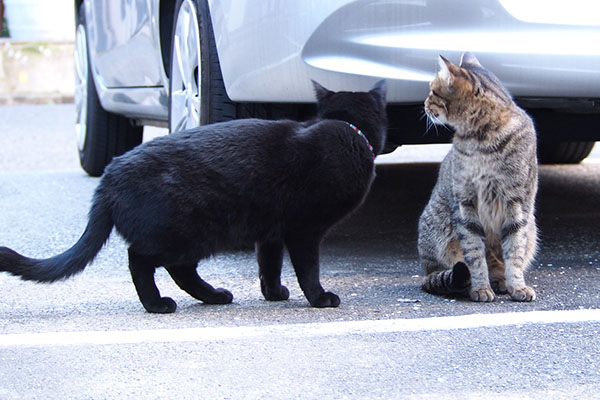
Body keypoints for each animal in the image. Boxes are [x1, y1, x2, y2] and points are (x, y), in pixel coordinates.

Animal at [0, 79, 390, 314]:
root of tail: (109, 177)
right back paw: (161, 303)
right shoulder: (303, 229)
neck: (347, 130)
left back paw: (213, 296)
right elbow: (308, 268)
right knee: (143, 261)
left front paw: (273, 292)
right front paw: (320, 298)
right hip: (191, 231)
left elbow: (269, 264)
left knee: (175, 268)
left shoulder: (271, 231)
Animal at [418, 54, 540, 304]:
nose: (423, 105)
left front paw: (517, 286)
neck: (483, 140)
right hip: (441, 226)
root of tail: (426, 271)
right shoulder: (465, 205)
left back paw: (501, 281)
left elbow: (514, 251)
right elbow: (475, 256)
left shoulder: (518, 204)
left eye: (432, 91)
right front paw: (481, 287)